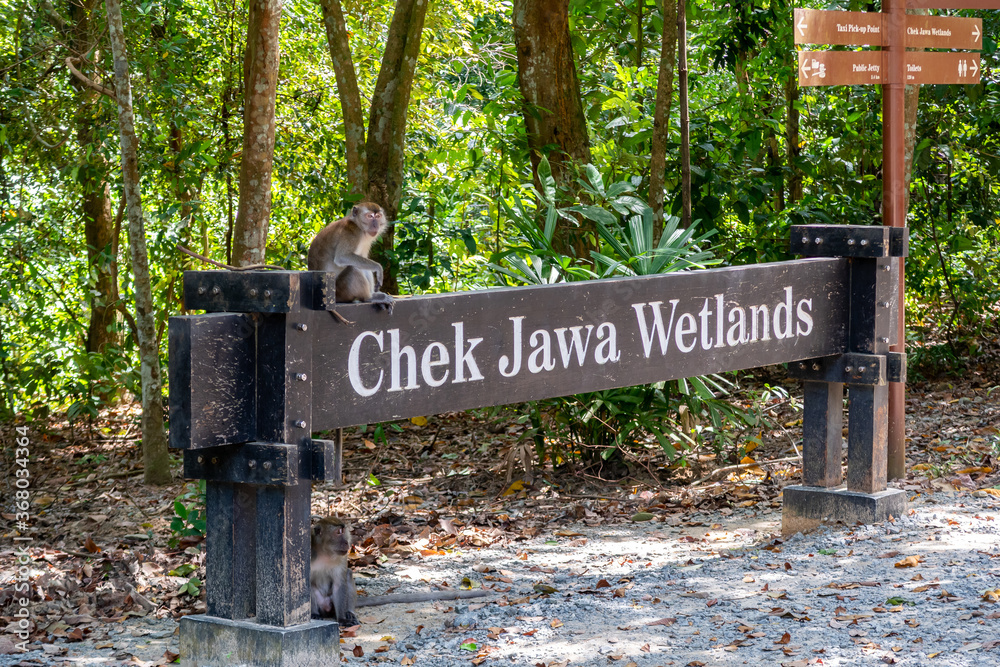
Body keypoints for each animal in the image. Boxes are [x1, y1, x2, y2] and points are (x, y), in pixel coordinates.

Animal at [310, 517, 490, 625]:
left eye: (344, 532)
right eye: (337, 532)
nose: (347, 543)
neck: (326, 553)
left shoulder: (341, 558)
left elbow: (339, 584)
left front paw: (342, 618)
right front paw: (313, 615)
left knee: (347, 575)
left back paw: (349, 613)